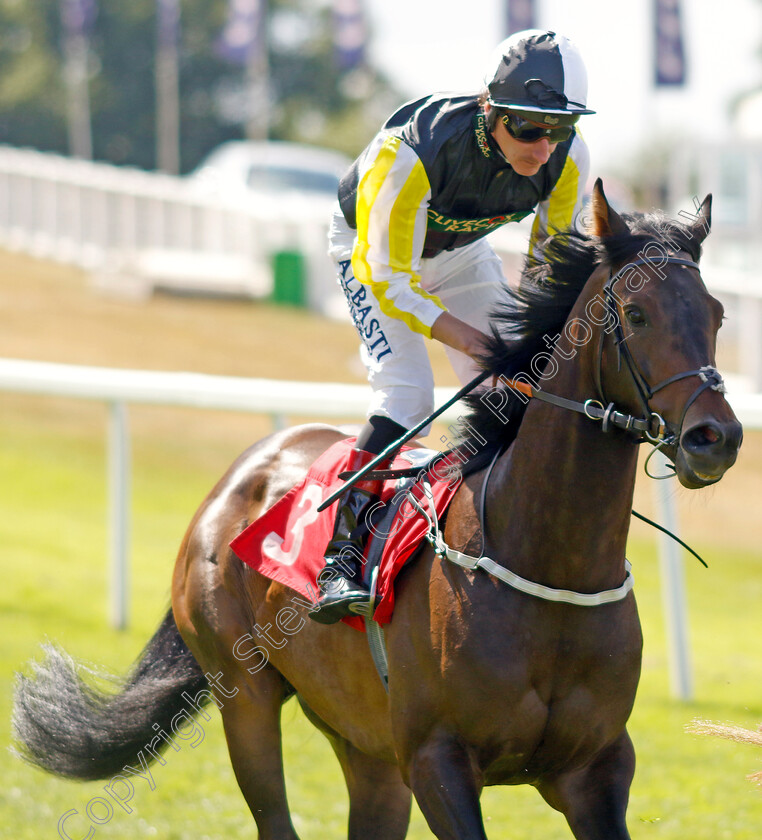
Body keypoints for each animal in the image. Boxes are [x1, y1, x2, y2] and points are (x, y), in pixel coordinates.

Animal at [13, 184, 744, 840]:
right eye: (637, 312)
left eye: (716, 314)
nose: (717, 437)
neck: (550, 564)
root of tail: (245, 469)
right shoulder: (437, 759)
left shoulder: (595, 769)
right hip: (244, 696)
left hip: (365, 747)